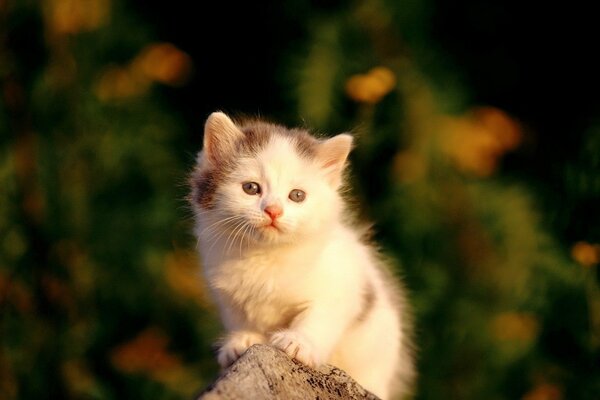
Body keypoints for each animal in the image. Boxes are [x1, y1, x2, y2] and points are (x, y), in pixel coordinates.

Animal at [190, 112, 414, 400]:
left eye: (297, 195)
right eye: (251, 188)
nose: (273, 210)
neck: (266, 255)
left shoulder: (342, 286)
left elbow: (318, 317)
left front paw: (298, 342)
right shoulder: (229, 294)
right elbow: (239, 318)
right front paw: (241, 341)